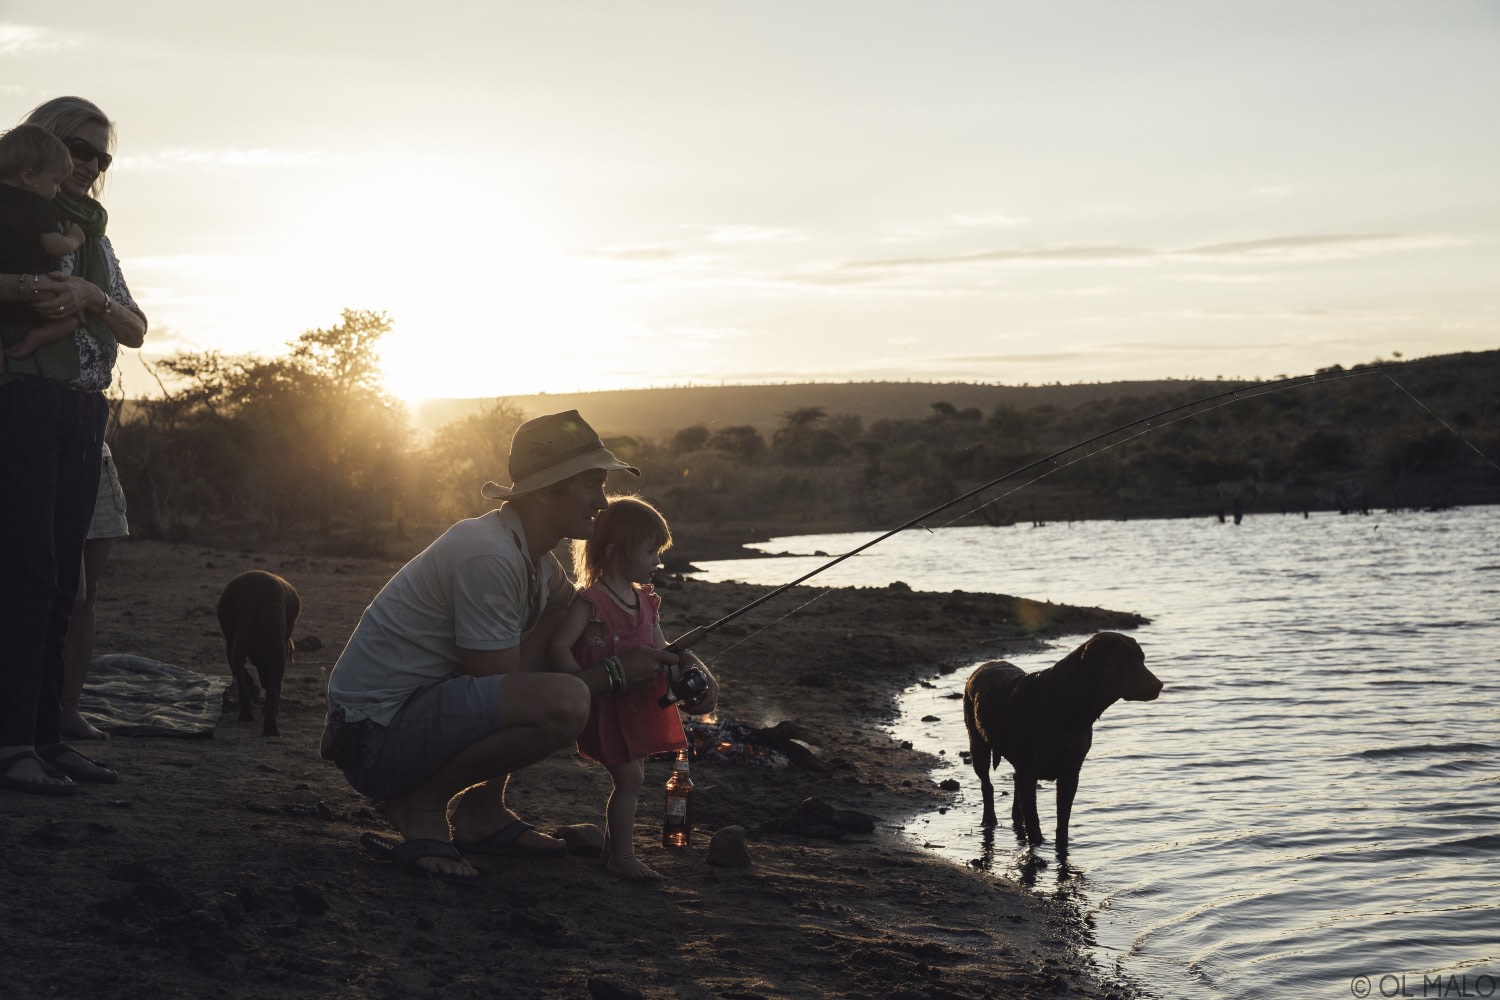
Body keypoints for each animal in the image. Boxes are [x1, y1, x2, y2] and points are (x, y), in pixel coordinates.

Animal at [216, 569, 300, 734]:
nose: (263, 682)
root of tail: (252, 592)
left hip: (235, 636)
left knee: (238, 666)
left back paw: (249, 716)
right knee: (273, 679)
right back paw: (269, 727)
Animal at [960, 632, 1158, 851]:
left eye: (1142, 659)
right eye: (1125, 661)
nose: (1159, 685)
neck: (1064, 703)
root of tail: (984, 665)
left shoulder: (1070, 773)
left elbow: (1063, 820)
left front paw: (1061, 848)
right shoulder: (1029, 770)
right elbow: (1034, 821)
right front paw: (1036, 846)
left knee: (1014, 782)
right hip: (977, 744)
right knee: (987, 784)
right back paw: (989, 819)